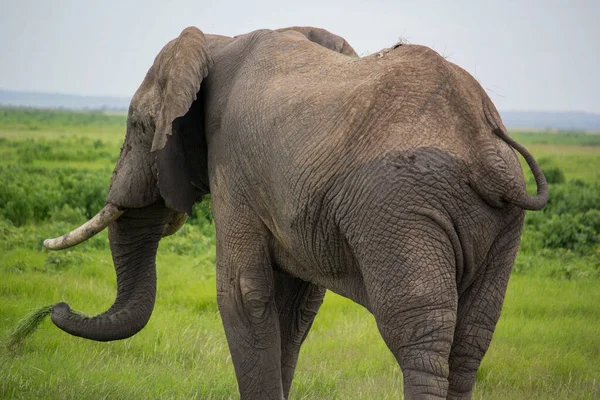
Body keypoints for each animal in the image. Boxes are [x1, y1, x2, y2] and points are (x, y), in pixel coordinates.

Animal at [43, 25, 548, 400]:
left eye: (138, 126)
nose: (56, 306)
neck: (215, 42)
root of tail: (482, 138)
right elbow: (294, 305)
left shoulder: (233, 168)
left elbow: (242, 293)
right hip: (500, 222)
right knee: (471, 336)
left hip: (401, 204)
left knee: (418, 330)